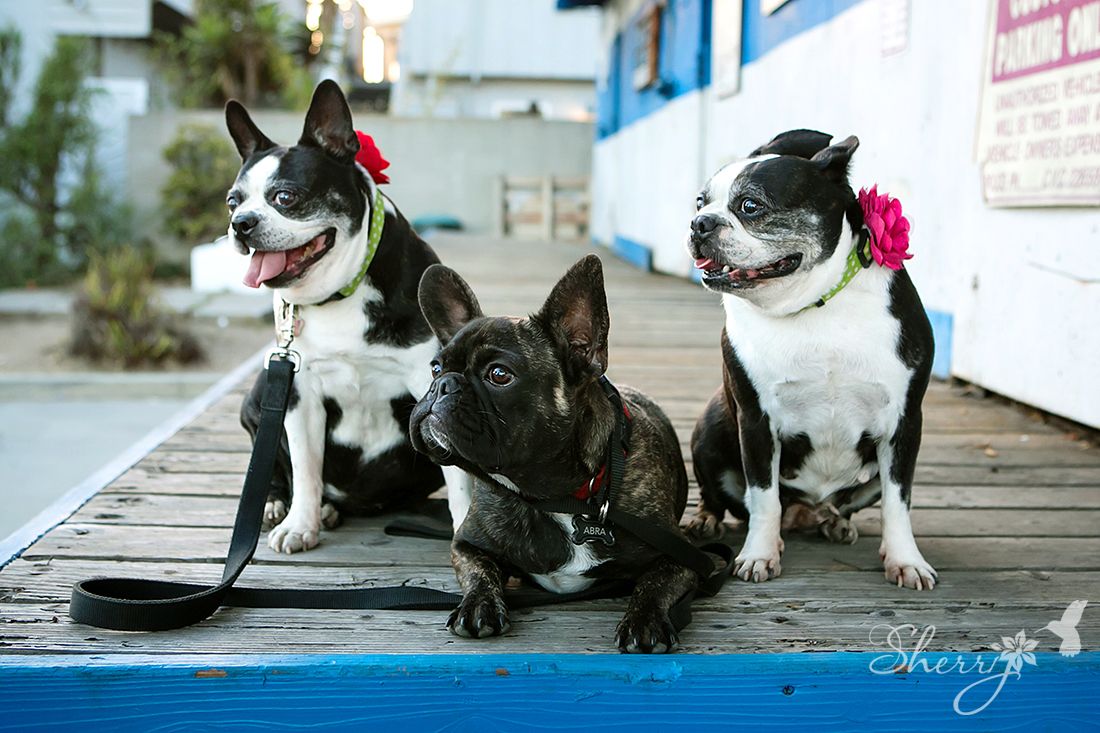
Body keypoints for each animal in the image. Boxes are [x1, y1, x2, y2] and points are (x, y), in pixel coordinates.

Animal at [682, 129, 932, 589]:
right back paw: (706, 519)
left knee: (842, 503)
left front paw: (906, 560)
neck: (815, 302)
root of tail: (803, 512)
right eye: (699, 202)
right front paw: (760, 554)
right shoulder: (755, 421)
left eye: (751, 206)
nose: (700, 223)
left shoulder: (904, 424)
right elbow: (763, 497)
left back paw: (834, 519)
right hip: (710, 426)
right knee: (720, 495)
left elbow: (898, 501)